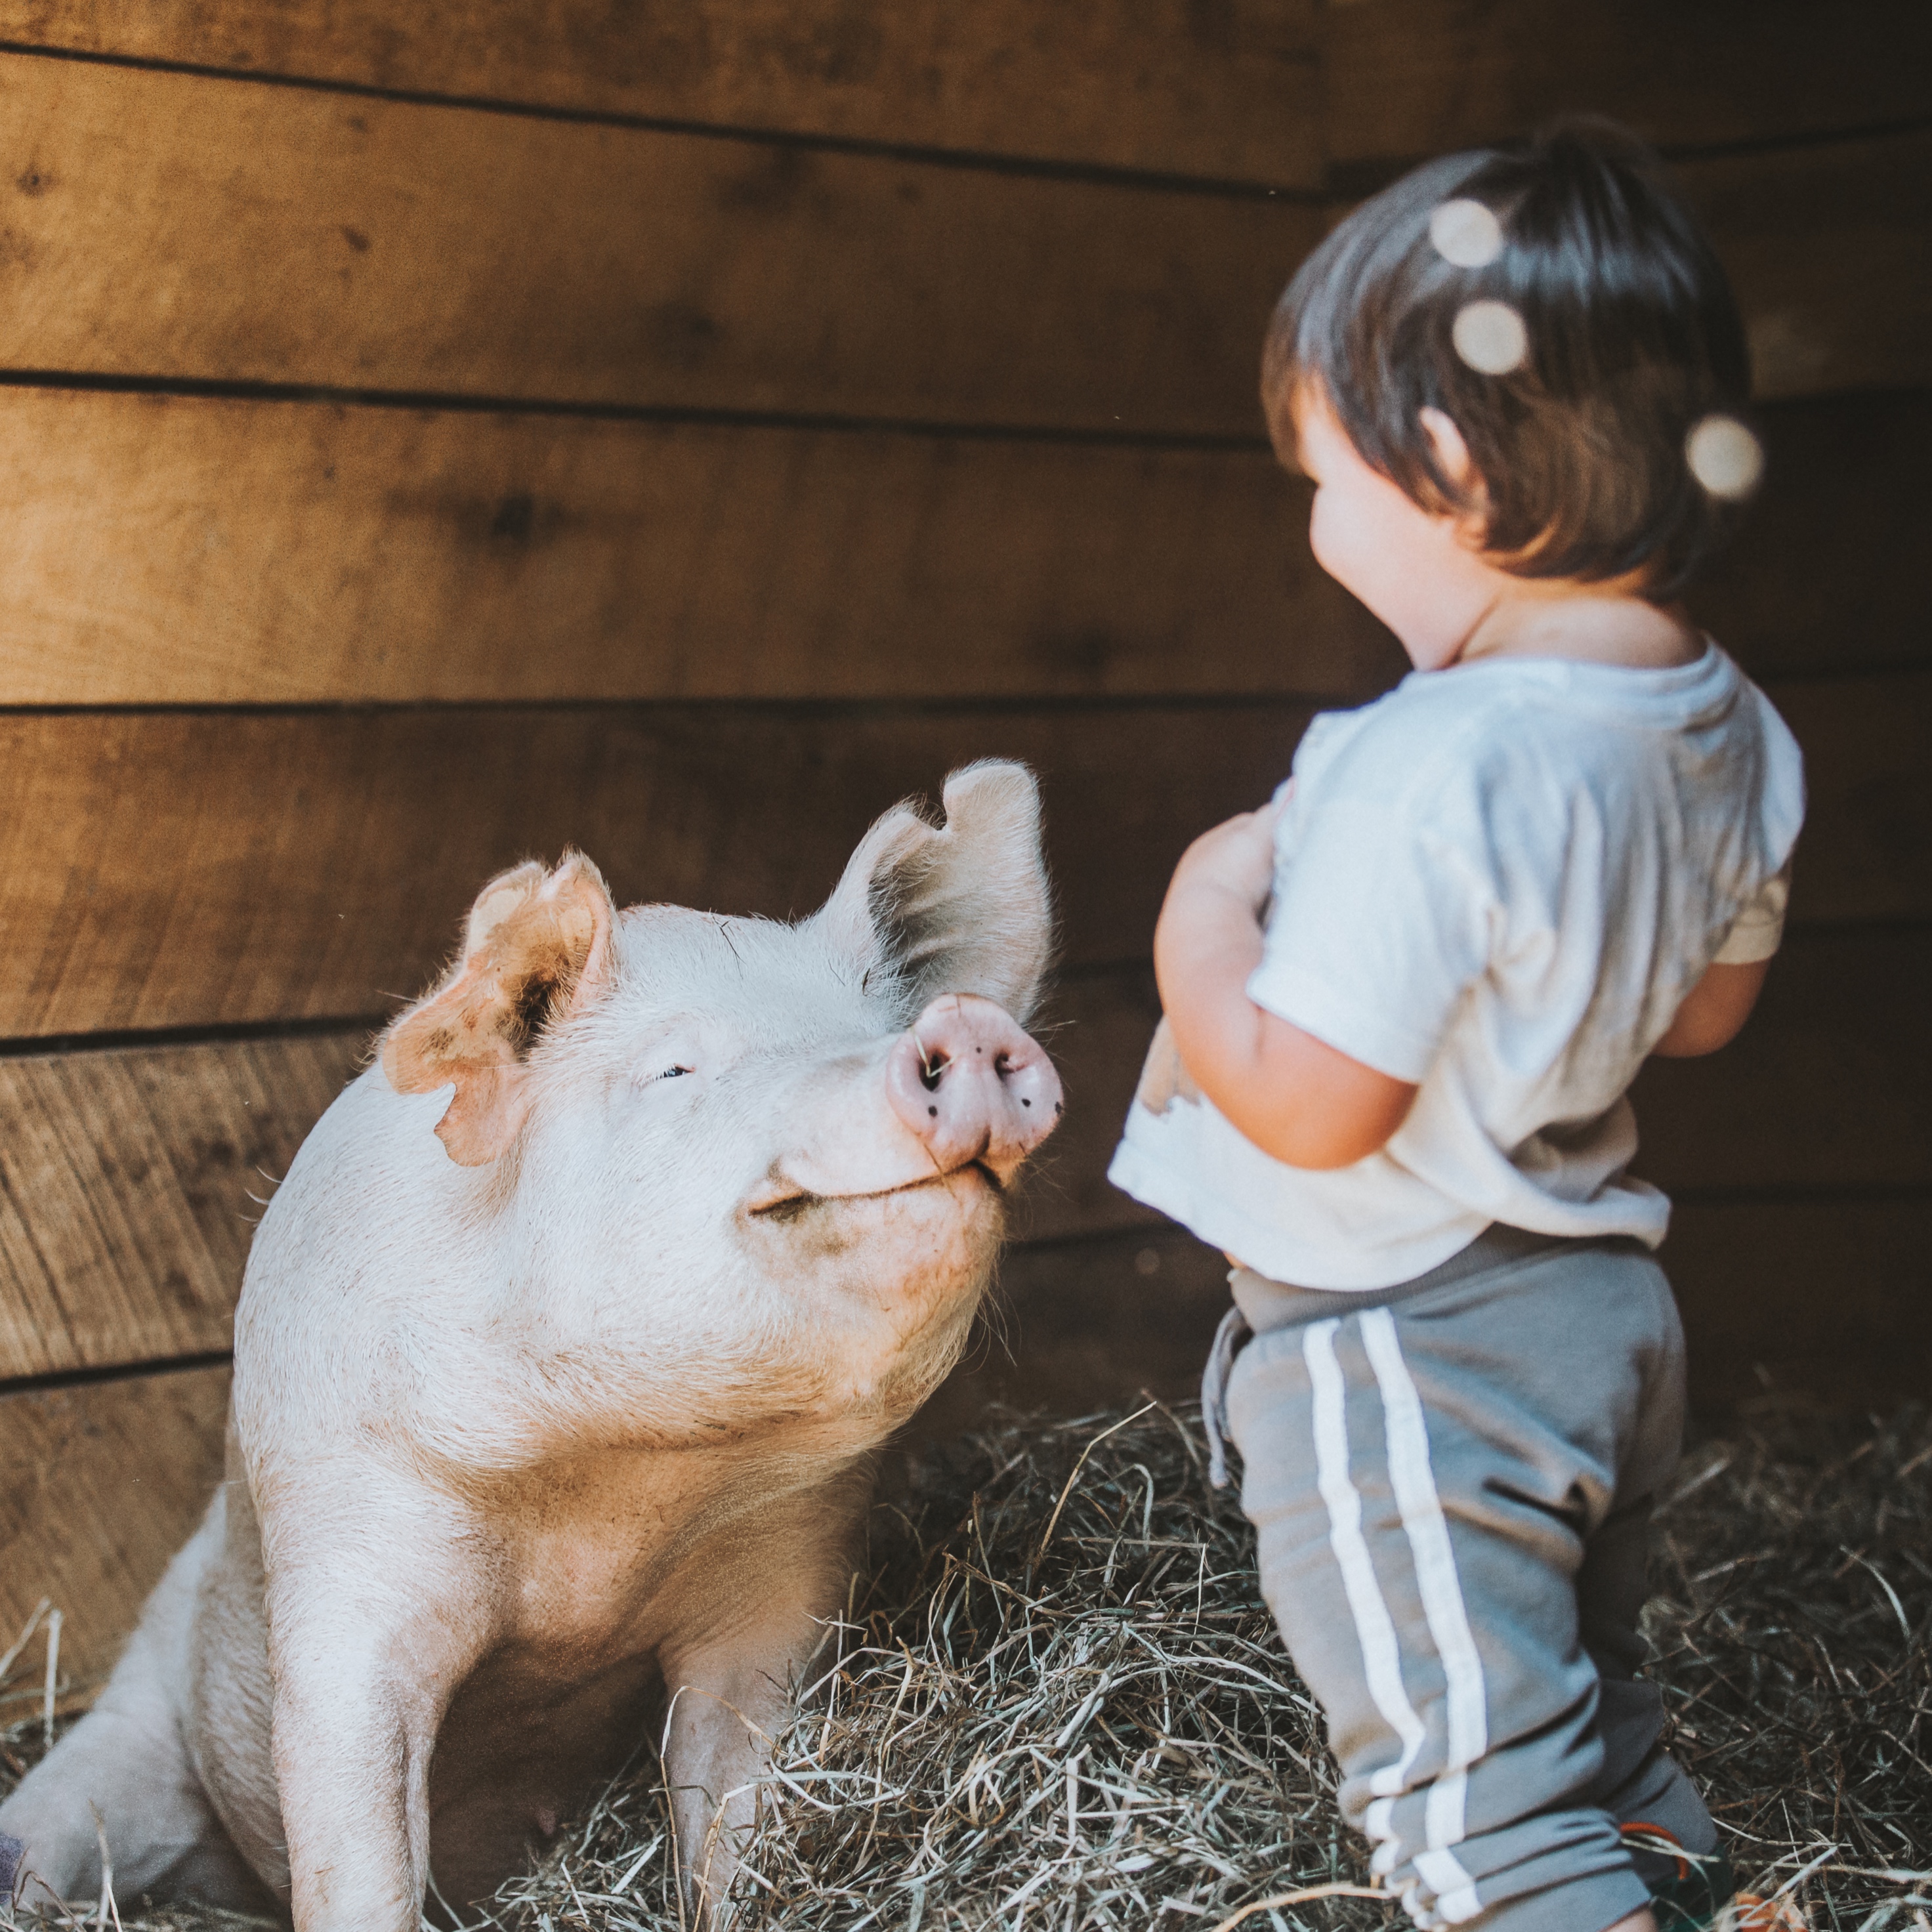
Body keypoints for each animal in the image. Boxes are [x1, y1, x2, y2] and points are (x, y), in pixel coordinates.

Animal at [0, 761, 1066, 1924]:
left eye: (862, 1026)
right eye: (675, 1071)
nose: (965, 1035)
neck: (604, 1516)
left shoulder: (785, 1572)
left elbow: (738, 1806)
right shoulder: (339, 1547)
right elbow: (354, 1850)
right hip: (129, 1726)